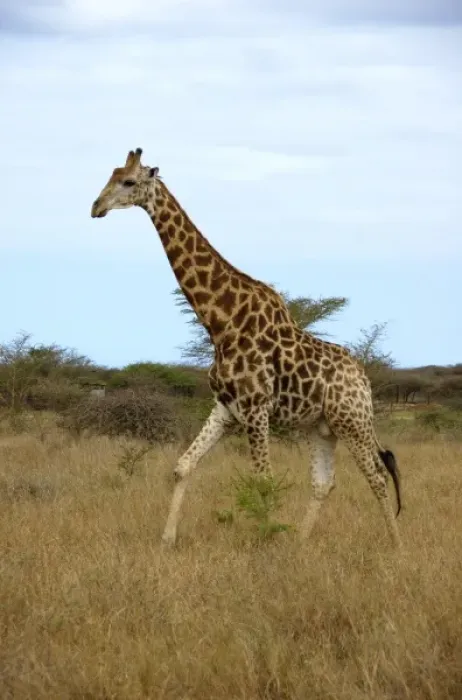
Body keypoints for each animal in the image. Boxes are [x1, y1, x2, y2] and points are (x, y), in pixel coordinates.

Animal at [90, 148, 402, 549]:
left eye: (129, 181)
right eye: (110, 176)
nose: (96, 207)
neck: (221, 323)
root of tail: (363, 378)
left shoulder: (256, 409)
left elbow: (263, 481)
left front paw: (266, 544)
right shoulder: (225, 407)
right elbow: (183, 466)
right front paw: (167, 540)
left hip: (353, 421)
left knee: (377, 475)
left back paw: (396, 546)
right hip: (321, 427)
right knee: (323, 483)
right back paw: (301, 544)